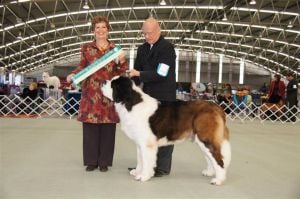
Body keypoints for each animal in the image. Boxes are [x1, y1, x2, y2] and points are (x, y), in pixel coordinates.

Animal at [102, 76, 231, 185]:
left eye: (112, 84)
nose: (103, 81)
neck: (131, 103)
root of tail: (216, 107)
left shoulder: (147, 144)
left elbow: (146, 160)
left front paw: (143, 176)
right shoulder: (140, 143)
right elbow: (140, 159)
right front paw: (137, 171)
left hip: (205, 138)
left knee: (218, 158)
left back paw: (218, 180)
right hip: (201, 140)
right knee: (210, 157)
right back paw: (210, 172)